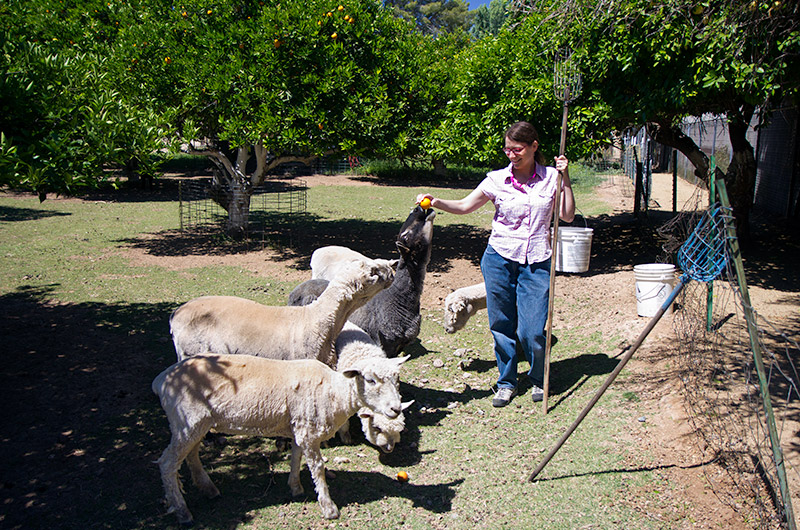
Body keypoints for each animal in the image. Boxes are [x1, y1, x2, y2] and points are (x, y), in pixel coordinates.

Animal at [152, 352, 410, 520]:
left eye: (396, 379)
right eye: (370, 380)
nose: (395, 409)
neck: (333, 392)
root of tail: (161, 379)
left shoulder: (299, 426)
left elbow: (295, 458)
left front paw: (295, 487)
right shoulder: (309, 431)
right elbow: (317, 467)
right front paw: (329, 508)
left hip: (196, 423)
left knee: (191, 454)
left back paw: (208, 489)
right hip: (187, 421)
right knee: (167, 463)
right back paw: (182, 510)